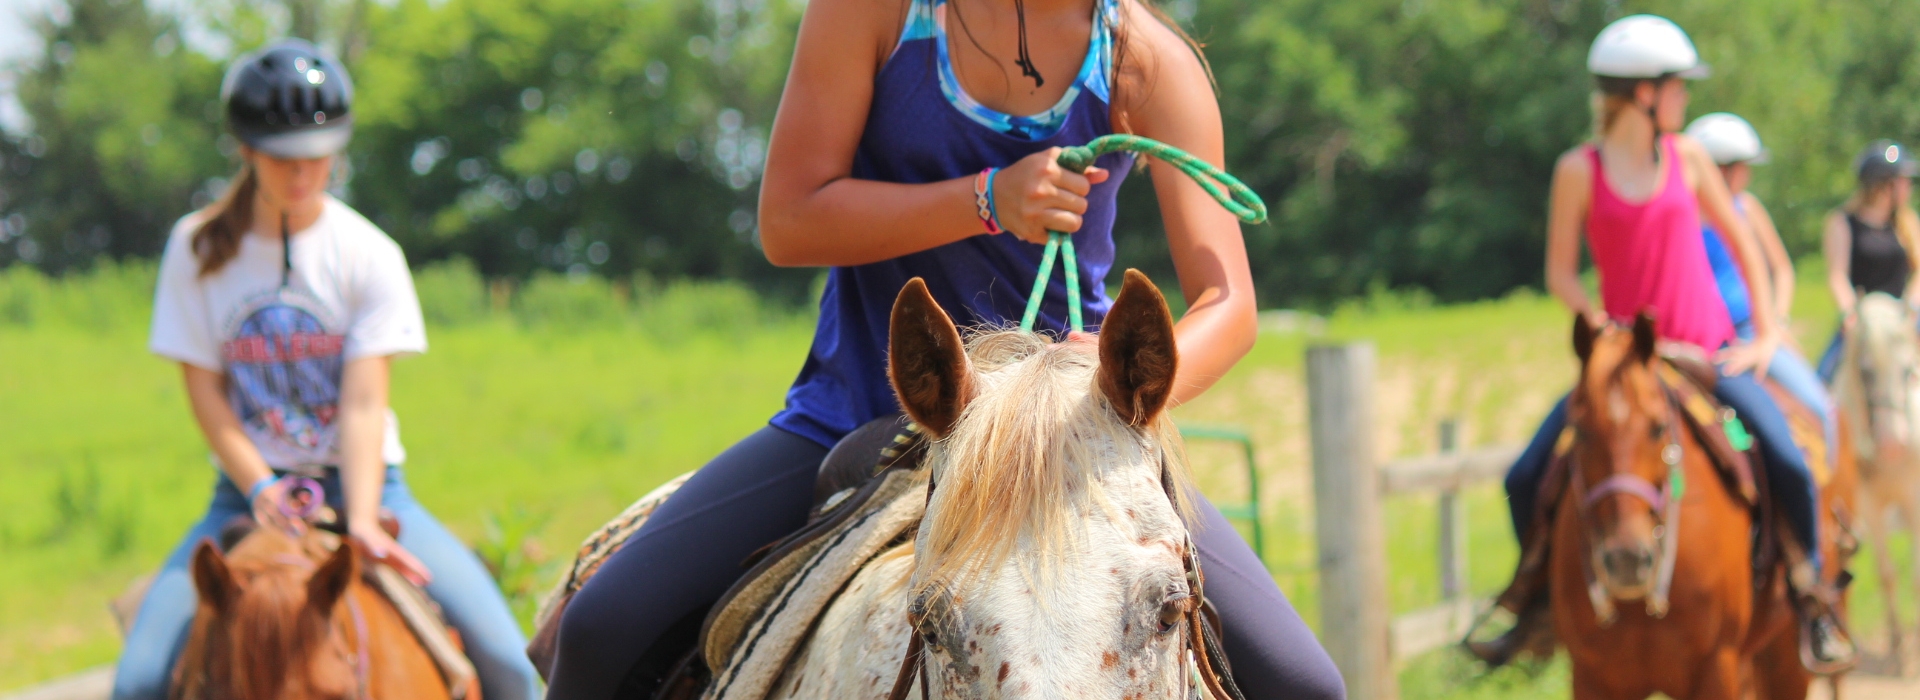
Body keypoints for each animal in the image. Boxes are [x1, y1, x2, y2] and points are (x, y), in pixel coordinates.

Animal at [1550, 313, 1851, 700]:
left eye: (1658, 427)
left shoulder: (1716, 668)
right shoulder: (1592, 678)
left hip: (1786, 650)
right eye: (1579, 429)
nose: (1627, 559)